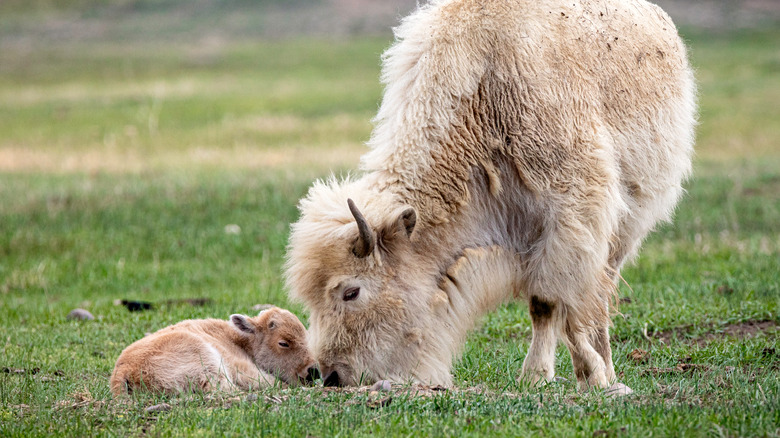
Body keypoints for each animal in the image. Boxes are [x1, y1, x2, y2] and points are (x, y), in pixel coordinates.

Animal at [284, 0, 696, 390]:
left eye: (351, 292)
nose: (332, 375)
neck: (484, 97)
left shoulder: (572, 217)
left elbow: (555, 299)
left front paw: (576, 375)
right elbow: (551, 302)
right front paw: (552, 376)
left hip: (626, 227)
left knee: (602, 291)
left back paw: (607, 369)